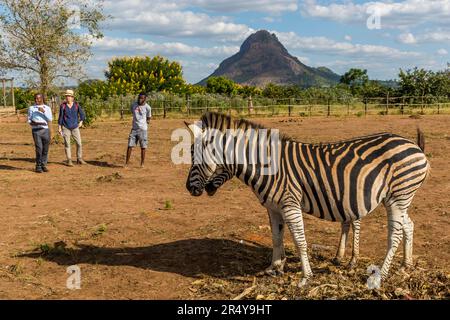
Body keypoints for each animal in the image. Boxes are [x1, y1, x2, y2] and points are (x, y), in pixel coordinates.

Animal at [185, 112, 430, 284]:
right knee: (409, 225)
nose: (189, 188)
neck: (267, 168)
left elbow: (300, 240)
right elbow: (276, 238)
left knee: (395, 234)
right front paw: (274, 268)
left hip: (398, 196)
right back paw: (405, 265)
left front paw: (305, 277)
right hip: (399, 198)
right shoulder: (273, 207)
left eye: (194, 155)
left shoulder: (289, 204)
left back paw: (382, 274)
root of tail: (414, 145)